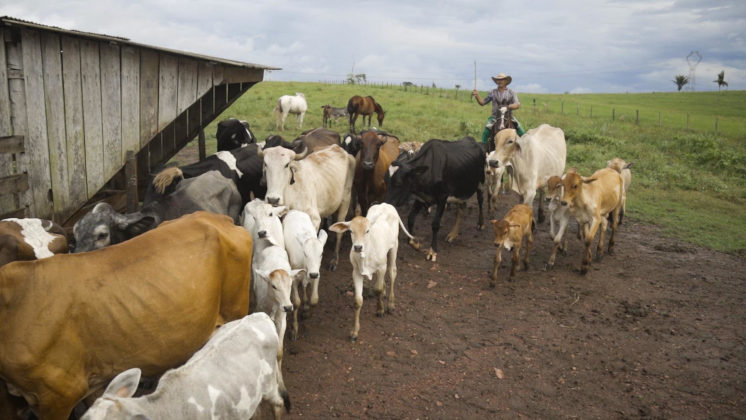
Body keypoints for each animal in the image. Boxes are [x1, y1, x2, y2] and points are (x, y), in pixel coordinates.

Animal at [284, 210, 326, 342]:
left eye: (321, 253)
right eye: (305, 253)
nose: (312, 274)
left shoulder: (317, 272)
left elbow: (314, 300)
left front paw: (306, 310)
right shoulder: (293, 276)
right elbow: (296, 302)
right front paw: (294, 329)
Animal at [328, 203, 416, 342]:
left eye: (367, 231)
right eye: (351, 231)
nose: (358, 247)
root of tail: (386, 204)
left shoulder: (381, 267)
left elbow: (378, 289)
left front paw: (380, 310)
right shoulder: (356, 272)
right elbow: (358, 301)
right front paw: (354, 332)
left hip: (394, 246)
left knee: (392, 272)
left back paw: (390, 304)